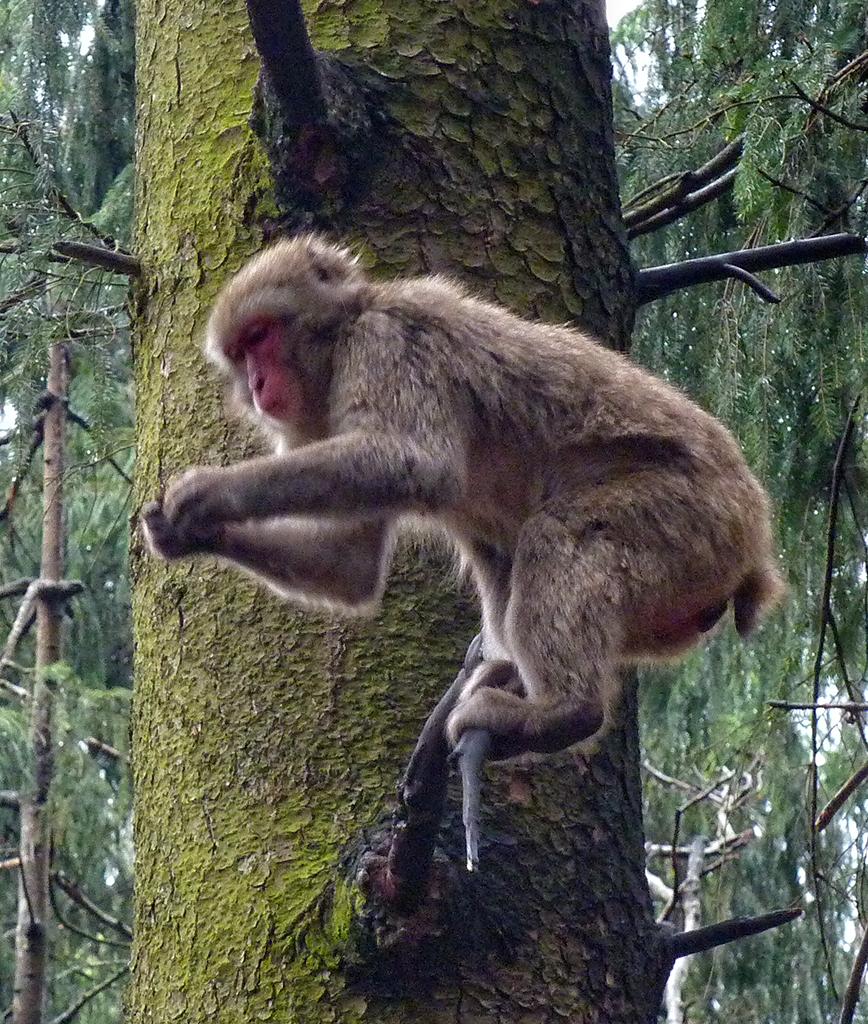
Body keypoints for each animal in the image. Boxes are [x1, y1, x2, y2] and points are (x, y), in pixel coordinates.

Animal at [143, 234, 784, 760]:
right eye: (240, 353)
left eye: (261, 337)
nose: (255, 385)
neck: (343, 337)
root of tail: (753, 541)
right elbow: (350, 565)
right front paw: (189, 533)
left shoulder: (388, 345)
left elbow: (413, 463)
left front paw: (210, 493)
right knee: (500, 553)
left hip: (694, 520)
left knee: (557, 536)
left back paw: (562, 712)